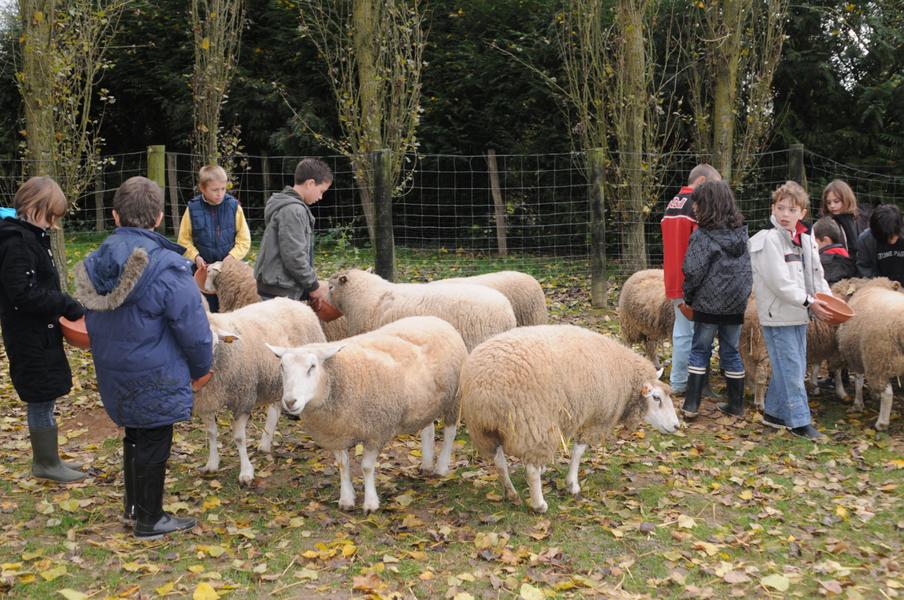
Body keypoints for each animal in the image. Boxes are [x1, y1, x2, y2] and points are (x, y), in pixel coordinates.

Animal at [197, 298, 324, 486]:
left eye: (215, 344)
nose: (203, 371)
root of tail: (297, 302)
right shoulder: (206, 401)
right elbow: (211, 432)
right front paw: (212, 463)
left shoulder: (243, 398)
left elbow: (239, 438)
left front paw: (246, 472)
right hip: (279, 380)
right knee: (275, 410)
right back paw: (265, 443)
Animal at [266, 316, 466, 512]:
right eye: (282, 366)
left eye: (312, 367)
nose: (290, 402)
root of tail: (436, 319)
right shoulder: (337, 432)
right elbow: (343, 465)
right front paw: (346, 498)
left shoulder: (375, 431)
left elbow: (367, 467)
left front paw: (370, 503)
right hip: (425, 403)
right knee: (428, 429)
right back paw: (426, 464)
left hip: (453, 399)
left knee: (450, 433)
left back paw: (441, 467)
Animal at [460, 326, 680, 512]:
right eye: (656, 397)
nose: (676, 426)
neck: (624, 378)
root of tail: (486, 389)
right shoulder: (594, 418)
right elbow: (578, 451)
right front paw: (572, 484)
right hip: (533, 422)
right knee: (530, 468)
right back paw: (539, 504)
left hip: (484, 430)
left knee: (499, 462)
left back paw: (511, 493)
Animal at [832, 278, 904, 428]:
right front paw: (873, 395)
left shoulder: (856, 353)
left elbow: (859, 380)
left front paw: (858, 404)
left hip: (879, 358)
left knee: (887, 393)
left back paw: (882, 423)